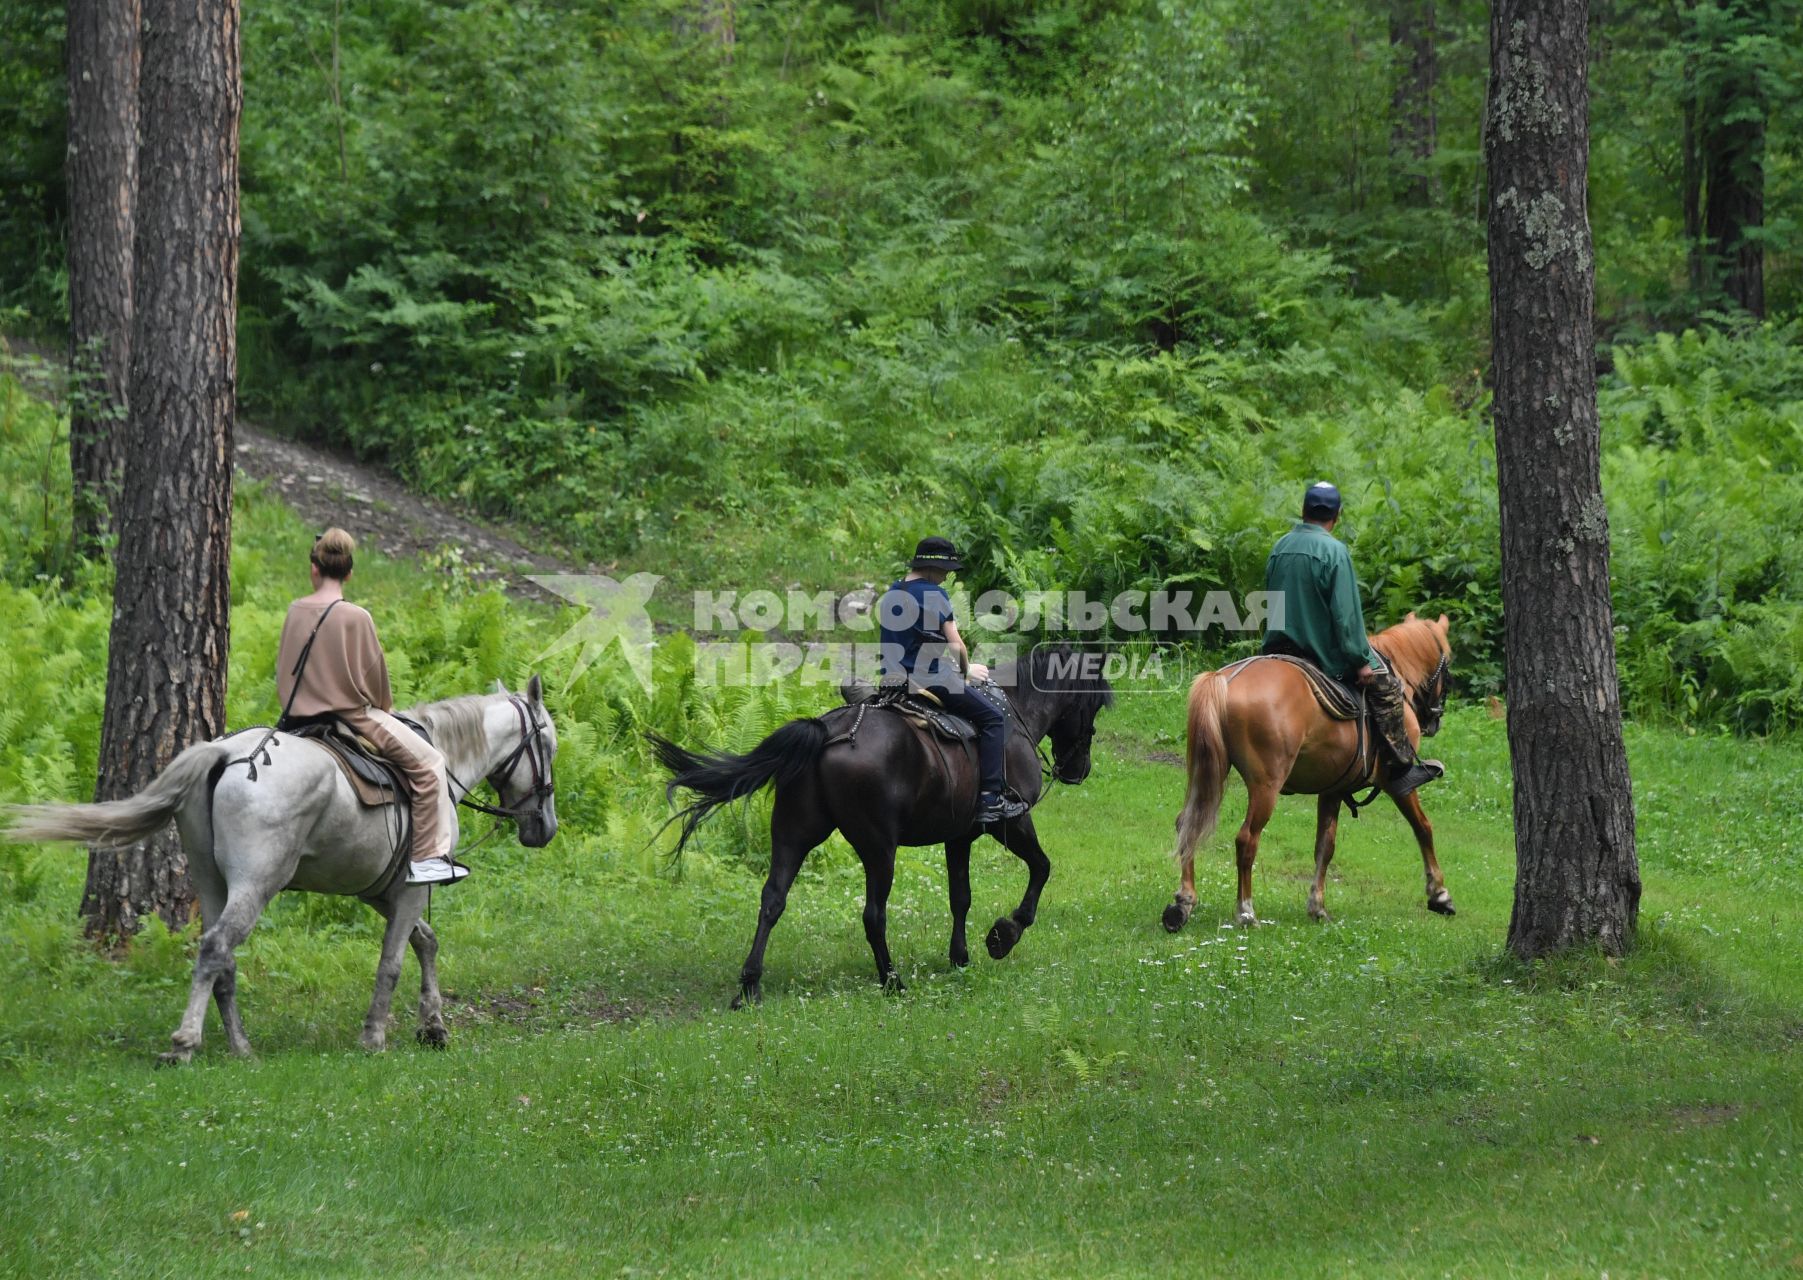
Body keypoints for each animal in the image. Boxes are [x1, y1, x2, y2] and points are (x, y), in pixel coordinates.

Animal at [3, 681, 555, 1060]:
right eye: (548, 744)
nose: (544, 827)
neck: (441, 759)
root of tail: (224, 752)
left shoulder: (380, 889)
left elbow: (426, 941)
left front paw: (433, 1026)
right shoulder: (412, 886)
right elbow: (394, 960)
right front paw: (374, 1036)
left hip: (213, 883)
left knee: (221, 958)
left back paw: (241, 1046)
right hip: (256, 884)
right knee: (216, 948)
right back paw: (185, 1042)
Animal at [656, 652, 1110, 1009]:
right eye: (1094, 706)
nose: (1079, 770)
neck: (1012, 714)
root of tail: (831, 729)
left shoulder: (958, 836)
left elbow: (960, 897)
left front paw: (960, 958)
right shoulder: (1010, 822)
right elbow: (1041, 868)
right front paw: (1004, 934)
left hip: (793, 834)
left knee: (772, 901)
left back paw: (749, 986)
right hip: (878, 848)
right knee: (874, 915)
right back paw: (892, 980)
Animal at [1161, 612, 1456, 930]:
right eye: (1447, 665)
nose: (1435, 720)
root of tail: (1224, 679)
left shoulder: (1333, 790)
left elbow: (1325, 847)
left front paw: (1317, 907)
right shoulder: (1396, 784)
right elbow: (1423, 827)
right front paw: (1439, 895)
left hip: (1205, 772)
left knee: (1187, 824)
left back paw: (1183, 903)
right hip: (1266, 786)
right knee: (1246, 839)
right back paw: (1245, 911)